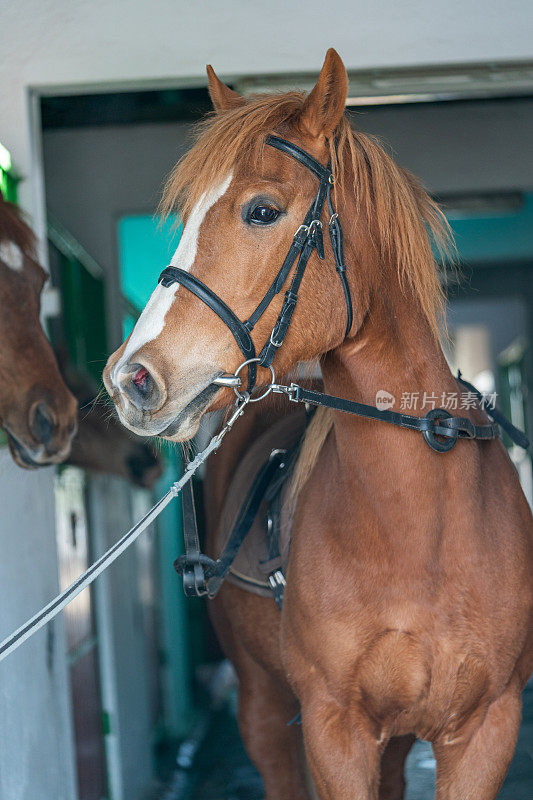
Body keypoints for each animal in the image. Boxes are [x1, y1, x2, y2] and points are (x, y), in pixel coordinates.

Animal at [104, 50, 532, 800]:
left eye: (262, 211)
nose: (132, 377)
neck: (420, 523)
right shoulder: (334, 732)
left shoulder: (484, 731)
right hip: (263, 708)